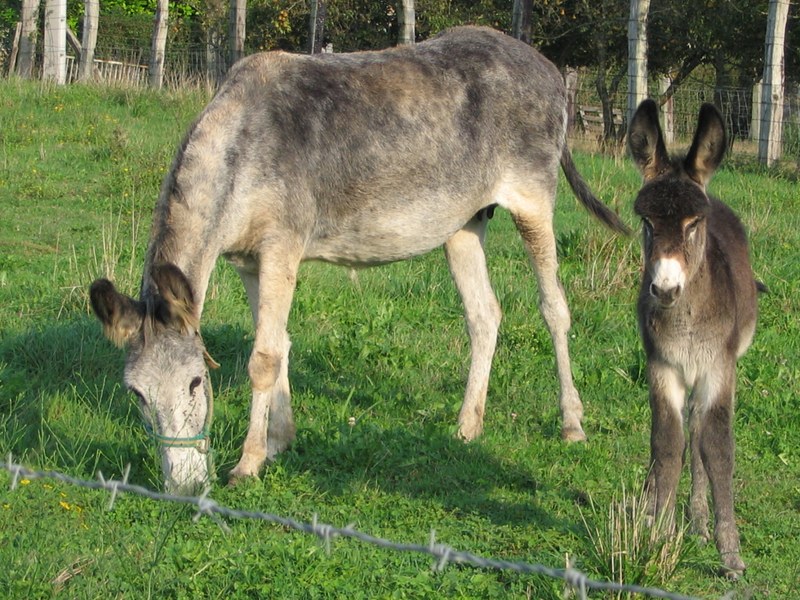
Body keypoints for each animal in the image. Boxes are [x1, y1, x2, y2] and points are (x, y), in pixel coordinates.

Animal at [89, 26, 629, 496]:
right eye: (136, 394)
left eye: (197, 383)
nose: (182, 488)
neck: (240, 155)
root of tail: (548, 67)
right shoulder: (248, 260)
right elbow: (281, 344)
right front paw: (281, 441)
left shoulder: (282, 245)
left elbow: (263, 357)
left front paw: (248, 462)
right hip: (463, 222)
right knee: (484, 315)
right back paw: (466, 427)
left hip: (533, 200)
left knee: (554, 309)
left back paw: (571, 423)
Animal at [628, 98, 761, 578]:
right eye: (647, 221)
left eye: (692, 224)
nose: (665, 290)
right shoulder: (662, 366)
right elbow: (667, 443)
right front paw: (658, 532)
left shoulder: (718, 369)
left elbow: (717, 449)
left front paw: (731, 555)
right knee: (686, 431)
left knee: (702, 431)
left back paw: (701, 522)